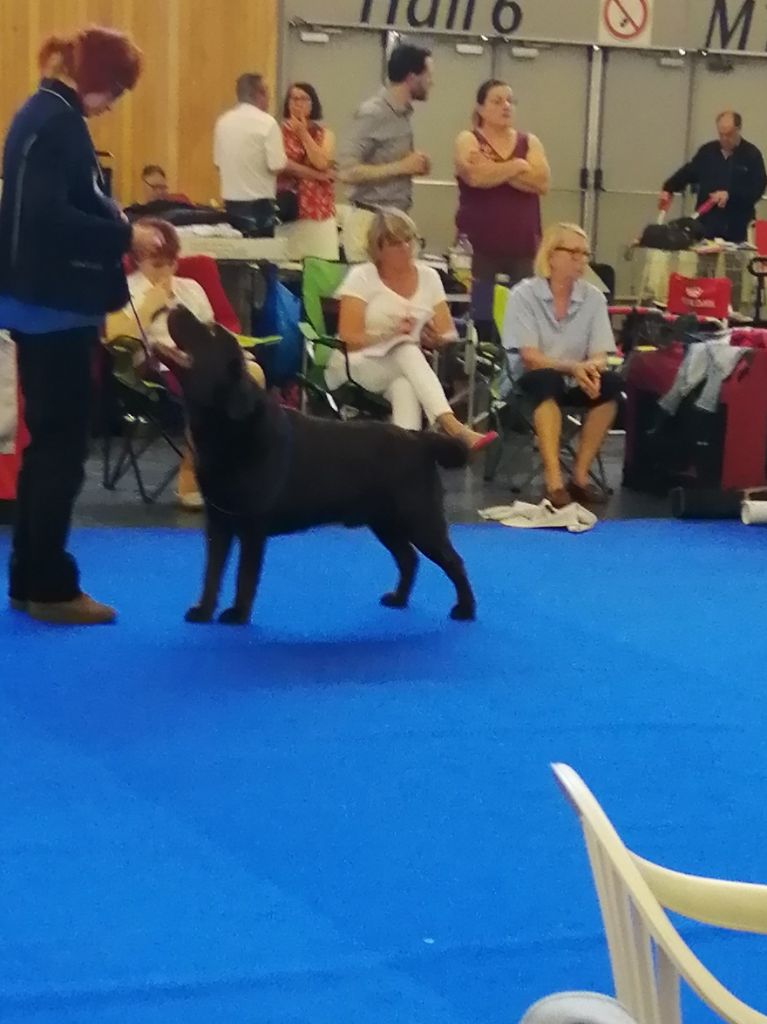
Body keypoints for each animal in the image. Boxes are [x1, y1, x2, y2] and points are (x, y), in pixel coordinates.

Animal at [164, 305, 475, 622]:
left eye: (210, 331)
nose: (175, 306)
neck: (228, 427)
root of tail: (419, 438)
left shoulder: (252, 526)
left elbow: (244, 576)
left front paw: (237, 614)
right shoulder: (218, 523)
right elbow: (211, 574)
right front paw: (203, 611)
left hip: (420, 520)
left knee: (454, 561)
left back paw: (465, 609)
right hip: (385, 522)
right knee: (409, 559)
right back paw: (399, 599)